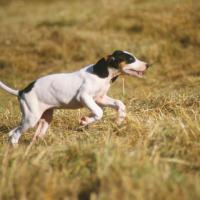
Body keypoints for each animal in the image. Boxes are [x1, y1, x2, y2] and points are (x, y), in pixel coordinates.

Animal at [0, 49, 148, 144]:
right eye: (130, 59)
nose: (148, 65)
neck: (103, 74)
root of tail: (22, 91)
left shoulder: (99, 98)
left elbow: (118, 104)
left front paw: (119, 119)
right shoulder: (84, 96)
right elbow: (99, 112)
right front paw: (86, 121)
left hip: (44, 118)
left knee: (16, 132)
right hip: (31, 118)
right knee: (15, 135)